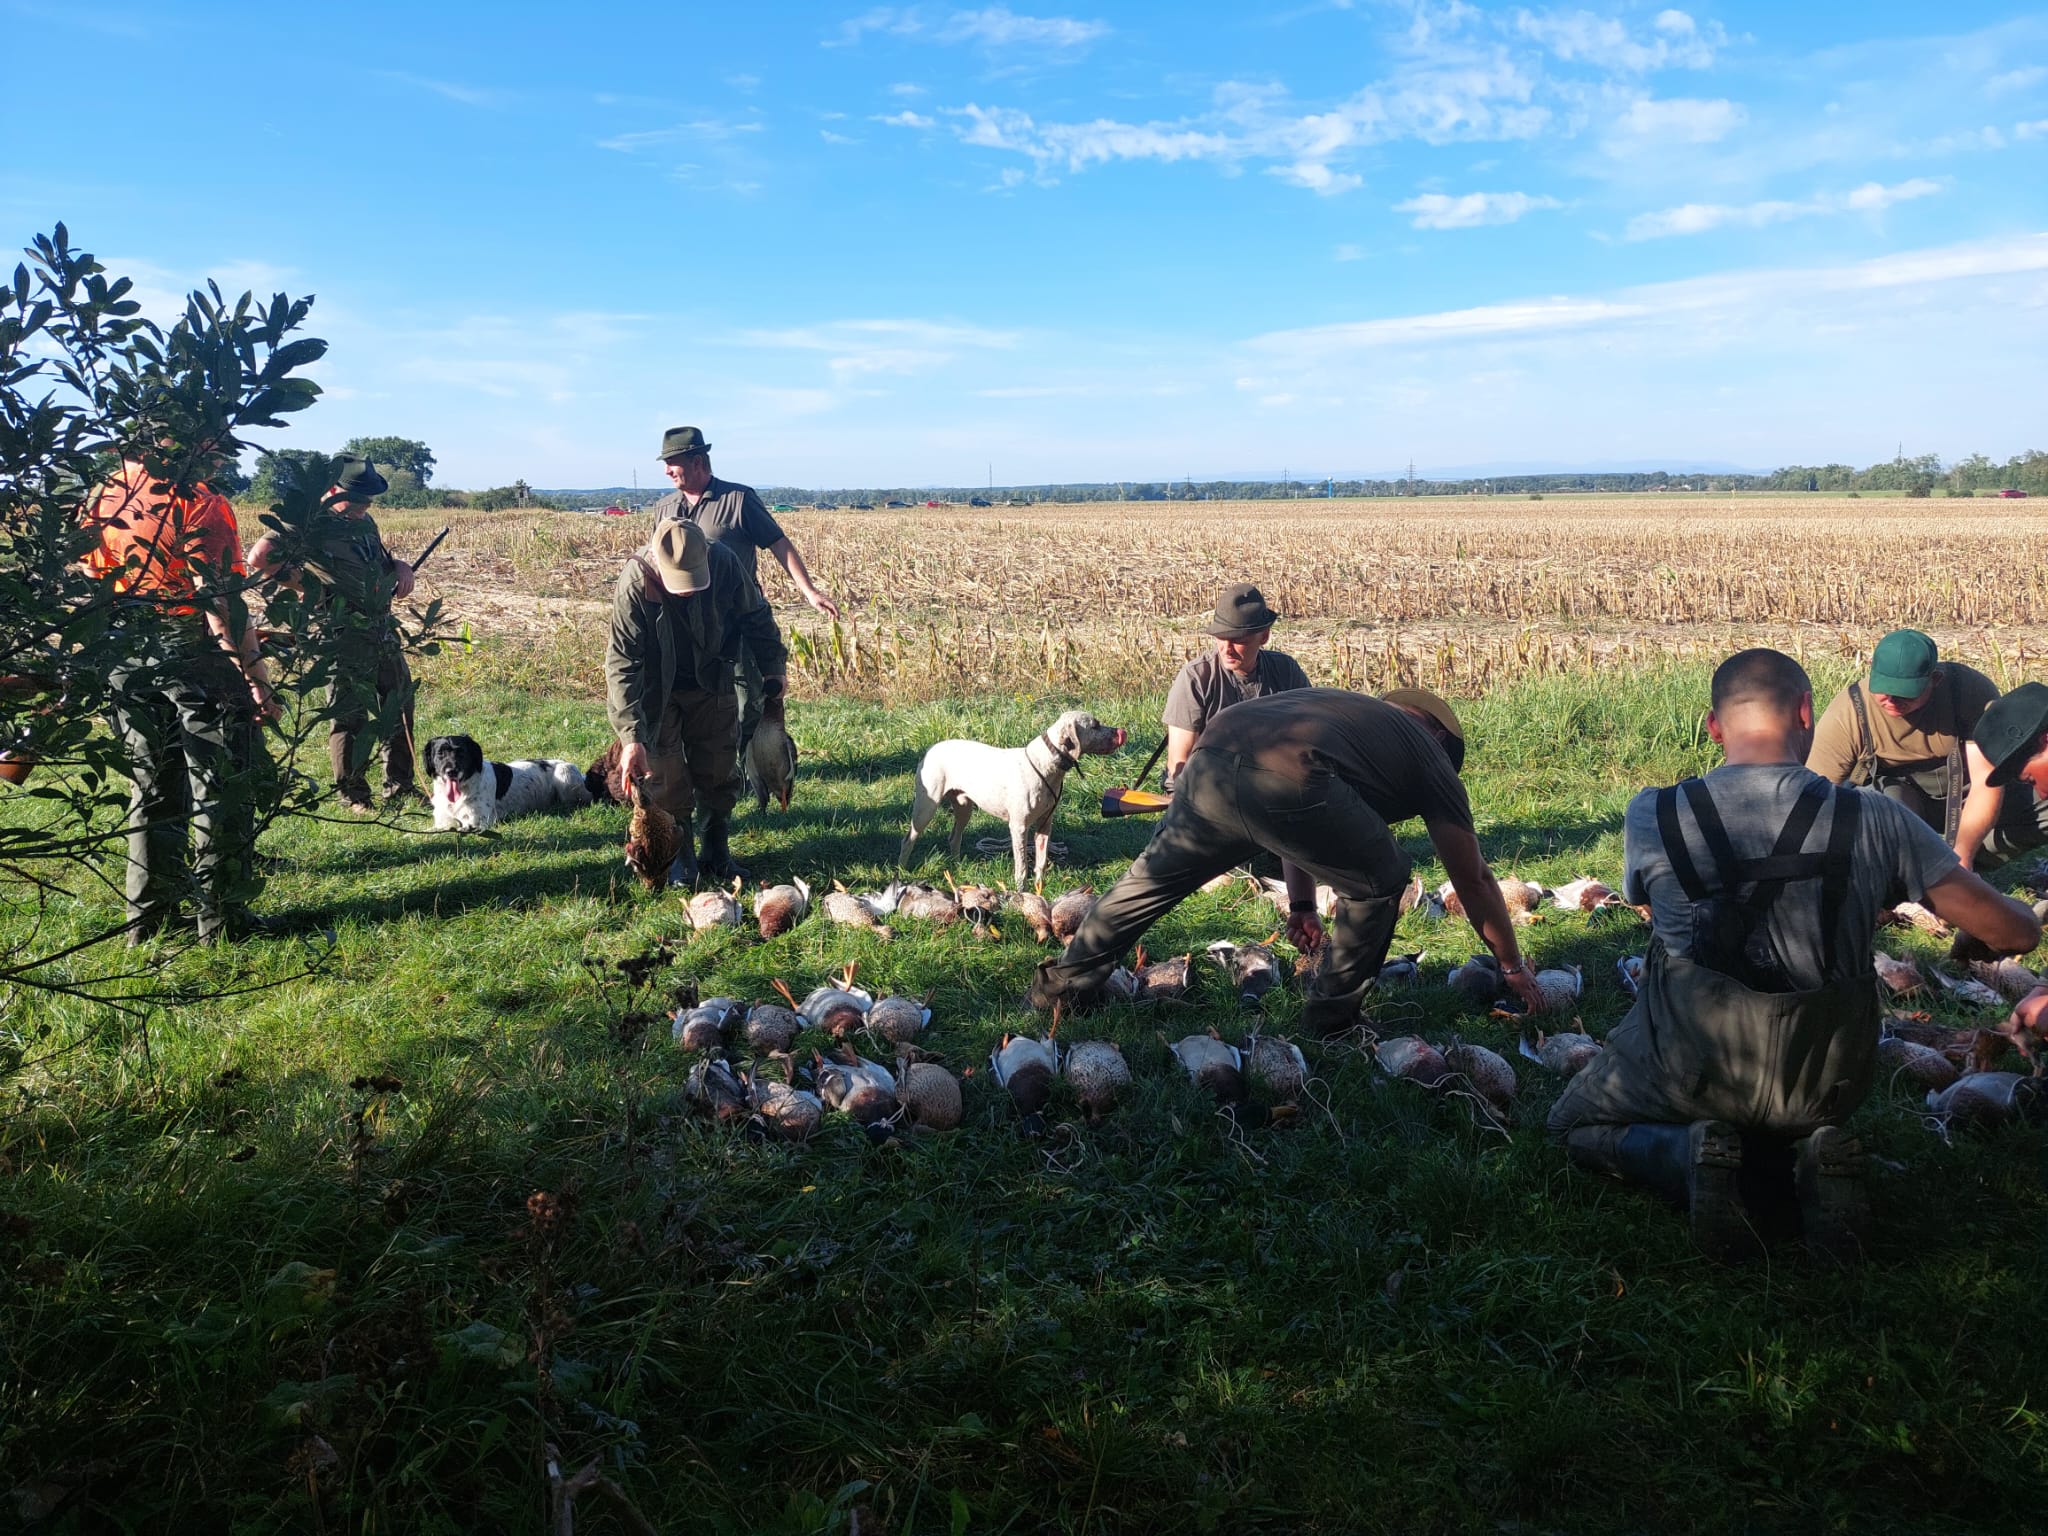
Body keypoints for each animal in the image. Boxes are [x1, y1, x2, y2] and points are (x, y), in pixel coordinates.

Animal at [424, 734, 592, 832]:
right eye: (440, 753)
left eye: (461, 752)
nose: (451, 771)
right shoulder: (442, 820)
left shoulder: (478, 821)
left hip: (564, 773)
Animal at [899, 709, 1126, 888]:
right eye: (1095, 725)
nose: (1120, 731)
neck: (1047, 764)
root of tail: (931, 749)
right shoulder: (1018, 827)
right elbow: (1022, 866)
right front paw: (1020, 892)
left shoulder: (1045, 825)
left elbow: (1041, 862)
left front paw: (1039, 889)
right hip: (926, 807)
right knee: (908, 839)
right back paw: (901, 870)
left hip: (964, 808)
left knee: (954, 837)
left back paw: (957, 867)